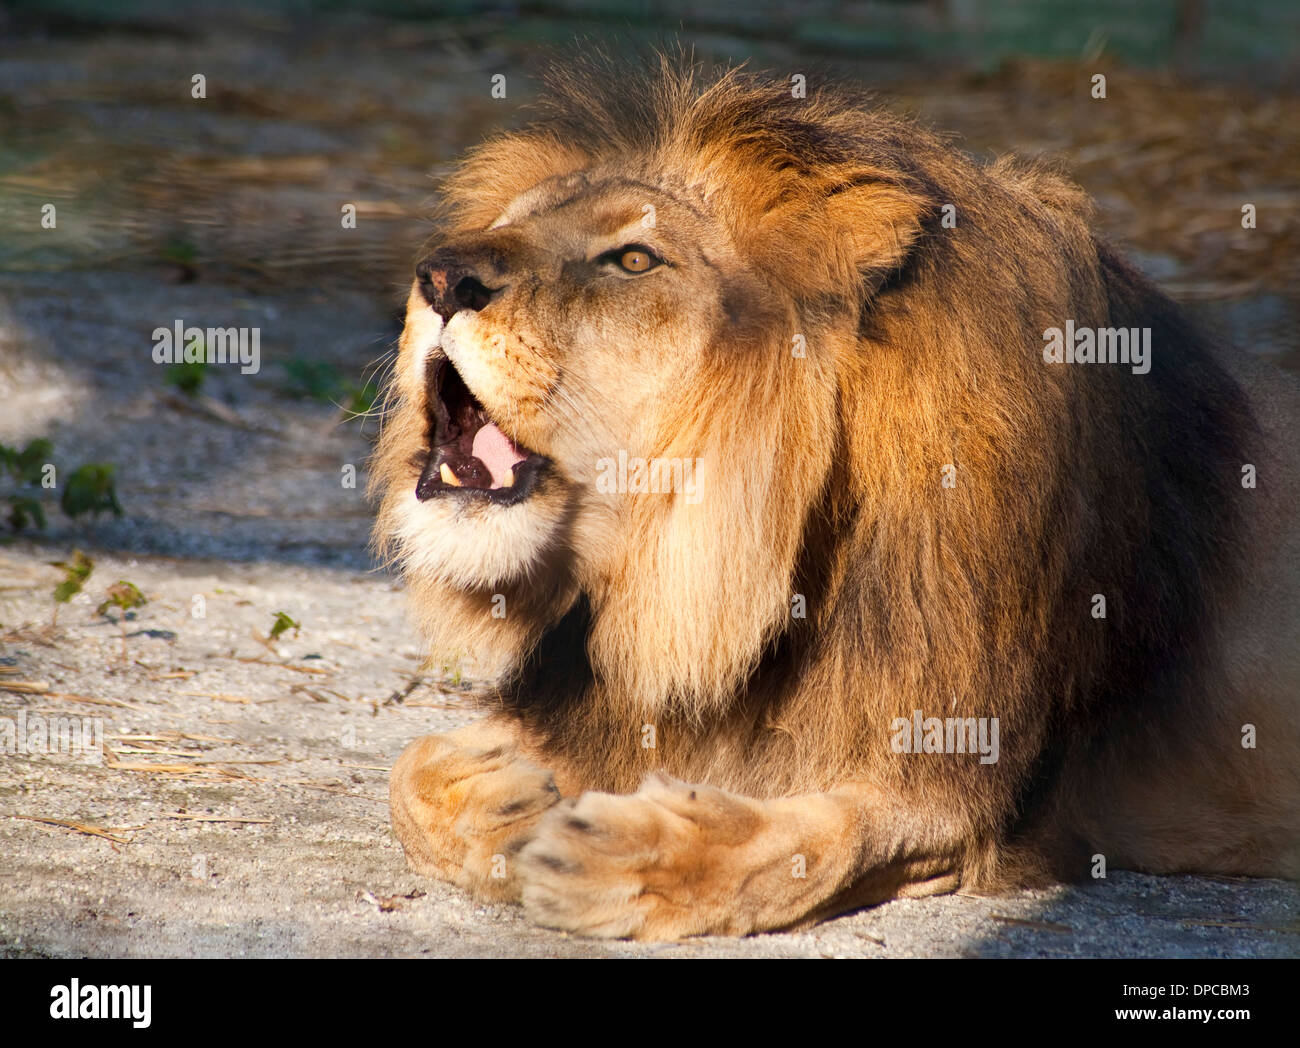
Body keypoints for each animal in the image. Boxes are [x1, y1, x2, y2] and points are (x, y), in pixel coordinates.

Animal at [366, 55, 1300, 941]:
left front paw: (622, 860)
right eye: (503, 229)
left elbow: (815, 844)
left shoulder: (959, 786)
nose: (440, 278)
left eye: (633, 260)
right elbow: (406, 772)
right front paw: (505, 795)